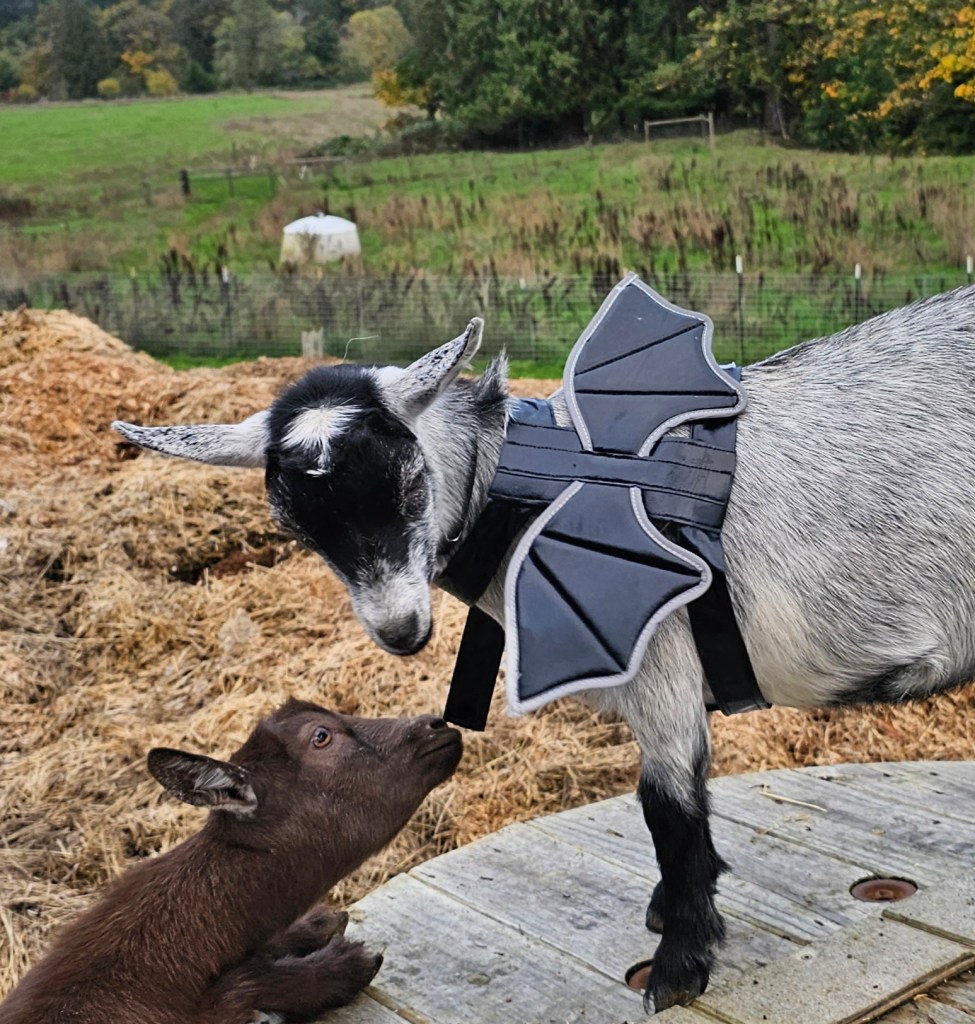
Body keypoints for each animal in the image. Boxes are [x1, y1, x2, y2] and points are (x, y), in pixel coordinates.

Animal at [112, 284, 975, 1012]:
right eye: (295, 526)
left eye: (410, 484)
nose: (401, 632)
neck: (532, 482)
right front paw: (670, 913)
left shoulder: (660, 668)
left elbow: (667, 809)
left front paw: (678, 966)